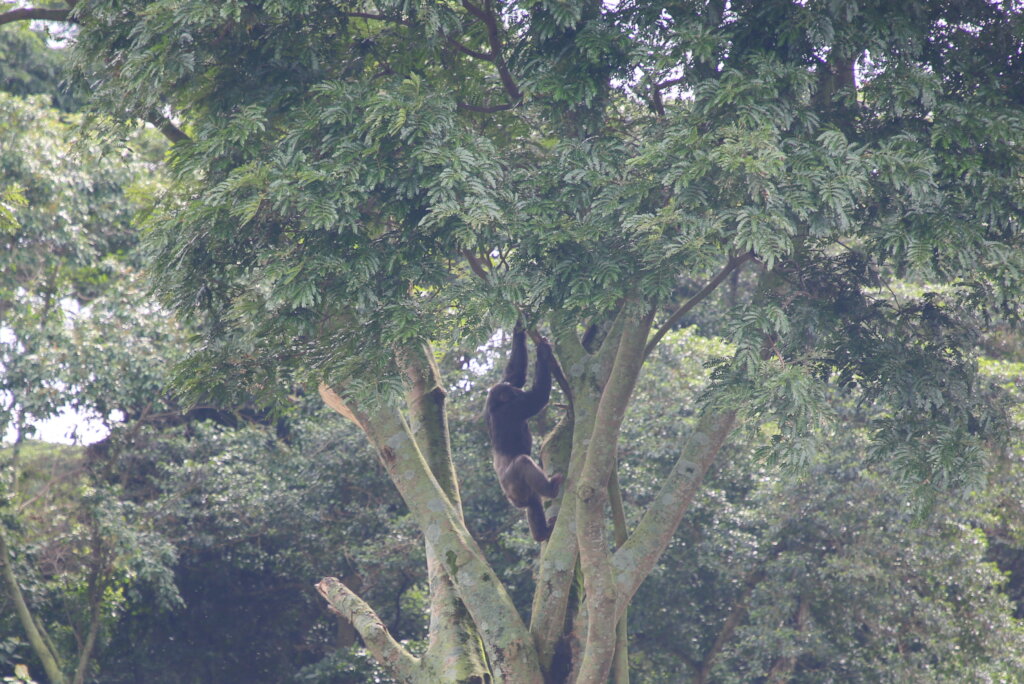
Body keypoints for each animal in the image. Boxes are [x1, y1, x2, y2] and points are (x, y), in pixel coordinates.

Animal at [486, 326, 564, 542]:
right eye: (510, 391)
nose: (514, 389)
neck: (496, 406)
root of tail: (511, 499)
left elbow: (515, 370)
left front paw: (519, 325)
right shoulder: (516, 408)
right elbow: (538, 397)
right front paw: (543, 353)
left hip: (521, 494)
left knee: (532, 504)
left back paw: (542, 533)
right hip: (514, 482)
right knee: (523, 462)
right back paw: (551, 489)